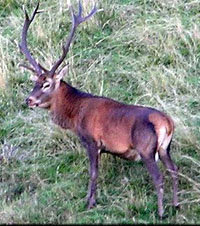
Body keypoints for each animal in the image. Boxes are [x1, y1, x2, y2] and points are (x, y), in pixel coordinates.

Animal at [18, 0, 178, 219]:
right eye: (35, 83)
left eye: (47, 84)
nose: (29, 100)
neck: (75, 115)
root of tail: (168, 123)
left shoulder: (92, 141)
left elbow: (93, 173)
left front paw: (89, 202)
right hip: (164, 148)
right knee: (174, 169)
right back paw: (176, 205)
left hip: (146, 148)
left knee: (158, 177)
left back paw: (161, 212)